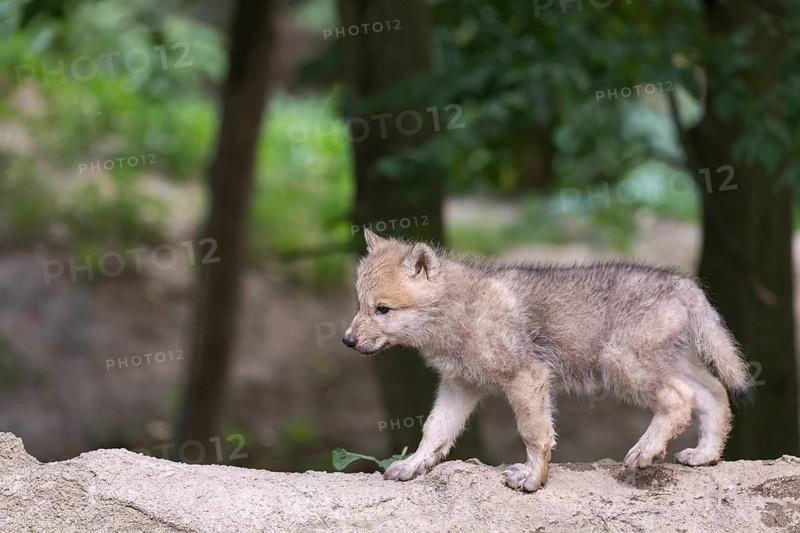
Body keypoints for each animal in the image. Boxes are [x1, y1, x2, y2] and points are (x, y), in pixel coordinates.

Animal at [343, 229, 753, 492]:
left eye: (382, 309)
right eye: (359, 304)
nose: (347, 340)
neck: (456, 312)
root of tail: (686, 285)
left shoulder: (527, 377)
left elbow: (534, 433)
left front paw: (532, 479)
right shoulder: (459, 386)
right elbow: (434, 432)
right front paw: (413, 466)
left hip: (621, 365)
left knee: (680, 400)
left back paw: (645, 451)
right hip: (671, 365)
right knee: (715, 394)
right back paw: (705, 455)